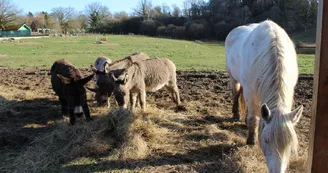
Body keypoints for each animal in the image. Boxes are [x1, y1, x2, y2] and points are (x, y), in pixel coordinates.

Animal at [224, 19, 304, 172]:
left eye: (290, 145)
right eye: (266, 140)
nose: (277, 171)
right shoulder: (250, 91)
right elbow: (253, 118)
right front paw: (251, 140)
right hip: (234, 78)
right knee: (236, 94)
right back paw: (236, 114)